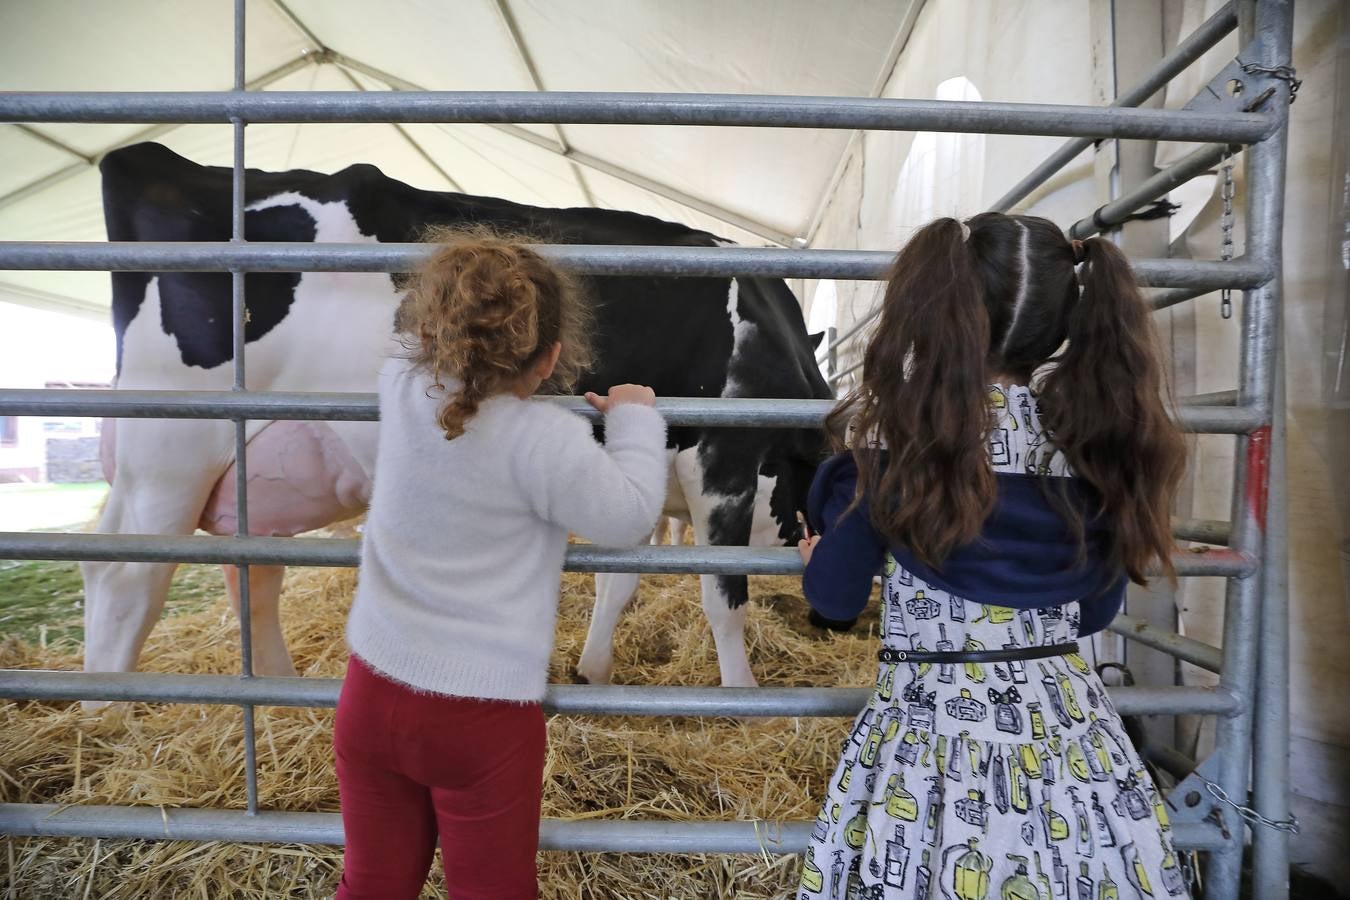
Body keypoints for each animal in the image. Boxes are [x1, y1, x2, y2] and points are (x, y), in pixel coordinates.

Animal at [87, 141, 831, 696]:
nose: (833, 625)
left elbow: (617, 585)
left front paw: (592, 671)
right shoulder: (724, 461)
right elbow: (722, 595)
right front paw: (740, 696)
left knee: (251, 573)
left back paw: (275, 688)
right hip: (172, 449)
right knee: (124, 579)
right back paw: (106, 714)